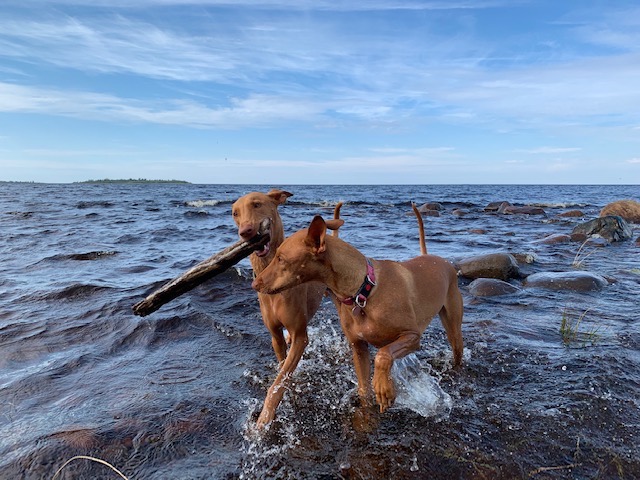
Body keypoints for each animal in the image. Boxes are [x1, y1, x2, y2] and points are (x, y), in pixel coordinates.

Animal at [231, 189, 342, 426]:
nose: (245, 232)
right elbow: (282, 367)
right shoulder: (275, 335)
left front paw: (265, 417)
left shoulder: (301, 337)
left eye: (257, 204)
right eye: (235, 213)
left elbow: (278, 383)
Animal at [252, 204, 462, 414]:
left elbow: (382, 355)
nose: (255, 284)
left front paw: (383, 387)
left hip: (453, 327)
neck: (363, 292)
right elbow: (364, 391)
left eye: (281, 258)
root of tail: (433, 257)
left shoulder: (412, 336)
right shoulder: (359, 348)